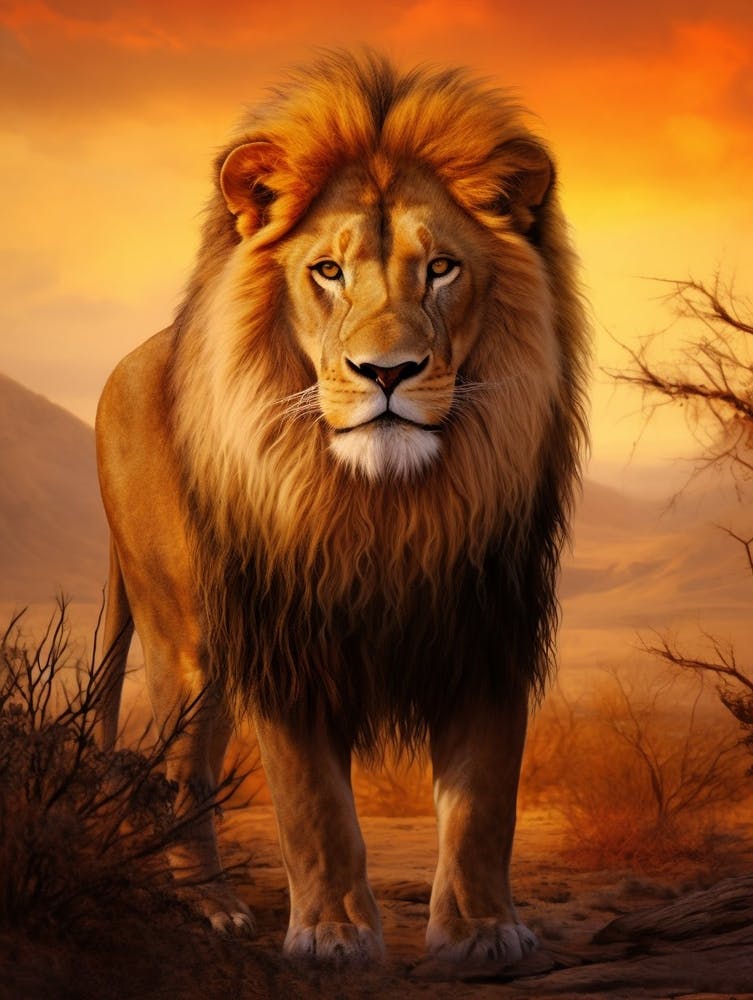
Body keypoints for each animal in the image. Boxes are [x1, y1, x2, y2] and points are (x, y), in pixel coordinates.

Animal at [95, 51, 588, 965]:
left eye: (441, 268)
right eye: (327, 271)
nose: (386, 372)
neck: (384, 509)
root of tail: (132, 360)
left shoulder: (486, 622)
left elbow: (483, 801)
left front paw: (481, 932)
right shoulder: (286, 632)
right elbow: (313, 805)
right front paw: (331, 935)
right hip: (187, 641)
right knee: (181, 770)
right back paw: (213, 909)